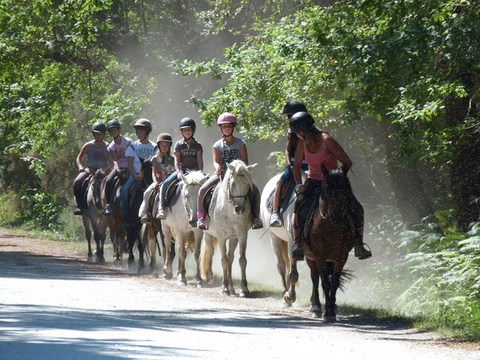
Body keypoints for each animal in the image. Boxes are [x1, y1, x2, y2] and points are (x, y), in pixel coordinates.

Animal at [199, 159, 256, 296]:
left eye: (247, 184)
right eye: (233, 183)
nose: (240, 209)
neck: (230, 210)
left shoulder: (242, 235)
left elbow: (241, 260)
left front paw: (244, 289)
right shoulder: (221, 237)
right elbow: (223, 260)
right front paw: (224, 288)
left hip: (233, 238)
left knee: (231, 258)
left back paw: (232, 288)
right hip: (208, 234)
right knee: (211, 251)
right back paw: (210, 278)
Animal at [284, 165, 356, 320]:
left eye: (346, 188)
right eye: (326, 188)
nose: (336, 217)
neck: (330, 227)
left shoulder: (341, 257)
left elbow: (334, 282)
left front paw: (331, 309)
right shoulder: (319, 255)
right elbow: (324, 282)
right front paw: (327, 312)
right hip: (310, 256)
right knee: (315, 277)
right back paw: (316, 307)